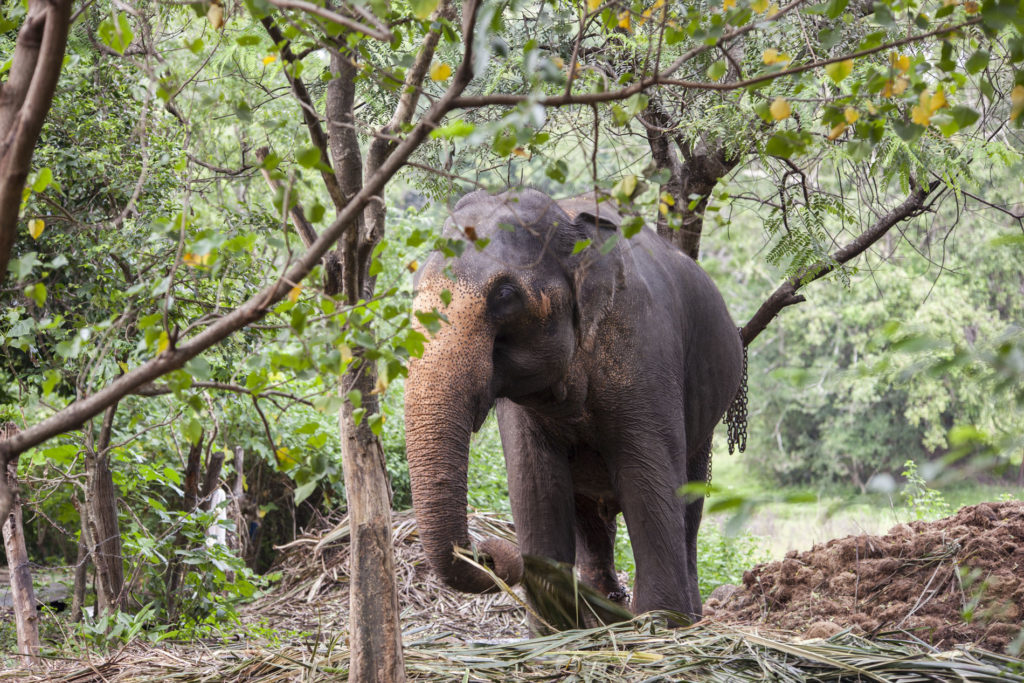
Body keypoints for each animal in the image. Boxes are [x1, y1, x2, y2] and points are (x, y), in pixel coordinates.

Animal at [401, 187, 745, 626]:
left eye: (505, 295)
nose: (489, 553)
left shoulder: (644, 350)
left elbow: (647, 478)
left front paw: (660, 624)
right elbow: (536, 485)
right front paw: (557, 630)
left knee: (690, 500)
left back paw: (686, 618)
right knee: (590, 517)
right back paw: (606, 613)